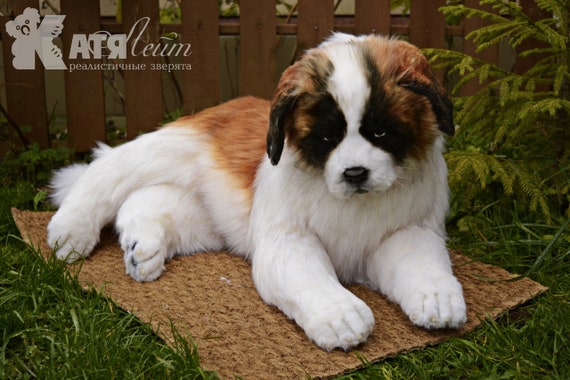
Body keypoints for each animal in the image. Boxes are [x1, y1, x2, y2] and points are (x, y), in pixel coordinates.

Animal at [47, 34, 466, 352]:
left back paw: (142, 249)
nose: (355, 173)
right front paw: (340, 316)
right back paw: (70, 232)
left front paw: (437, 297)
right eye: (326, 138)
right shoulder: (288, 241)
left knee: (146, 200)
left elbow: (421, 261)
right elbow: (308, 276)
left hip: (211, 220)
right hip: (168, 149)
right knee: (108, 170)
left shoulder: (403, 232)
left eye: (380, 132)